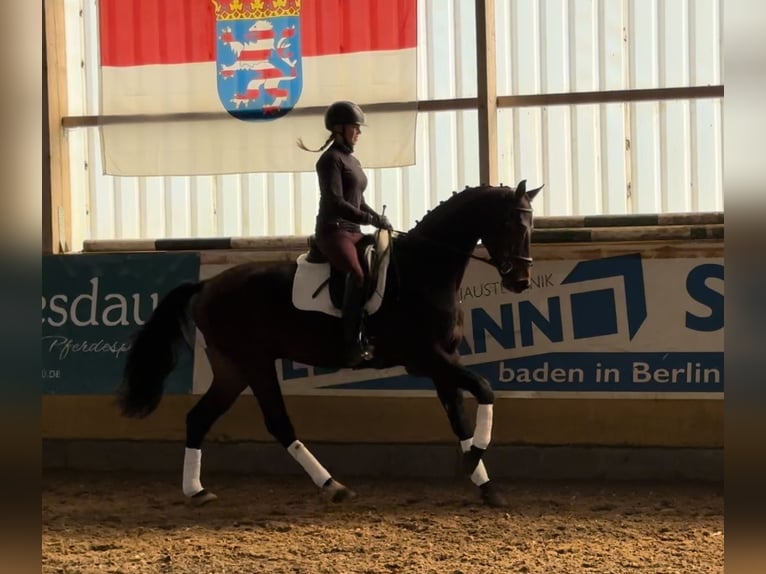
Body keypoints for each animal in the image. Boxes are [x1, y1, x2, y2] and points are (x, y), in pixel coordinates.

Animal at [117, 180, 542, 507]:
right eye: (511, 222)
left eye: (531, 225)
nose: (520, 281)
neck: (424, 271)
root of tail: (207, 285)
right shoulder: (427, 358)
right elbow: (485, 390)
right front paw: (475, 460)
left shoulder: (444, 361)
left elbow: (460, 418)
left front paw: (485, 485)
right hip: (253, 362)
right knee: (277, 422)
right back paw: (332, 485)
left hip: (232, 368)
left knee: (200, 418)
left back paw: (198, 491)